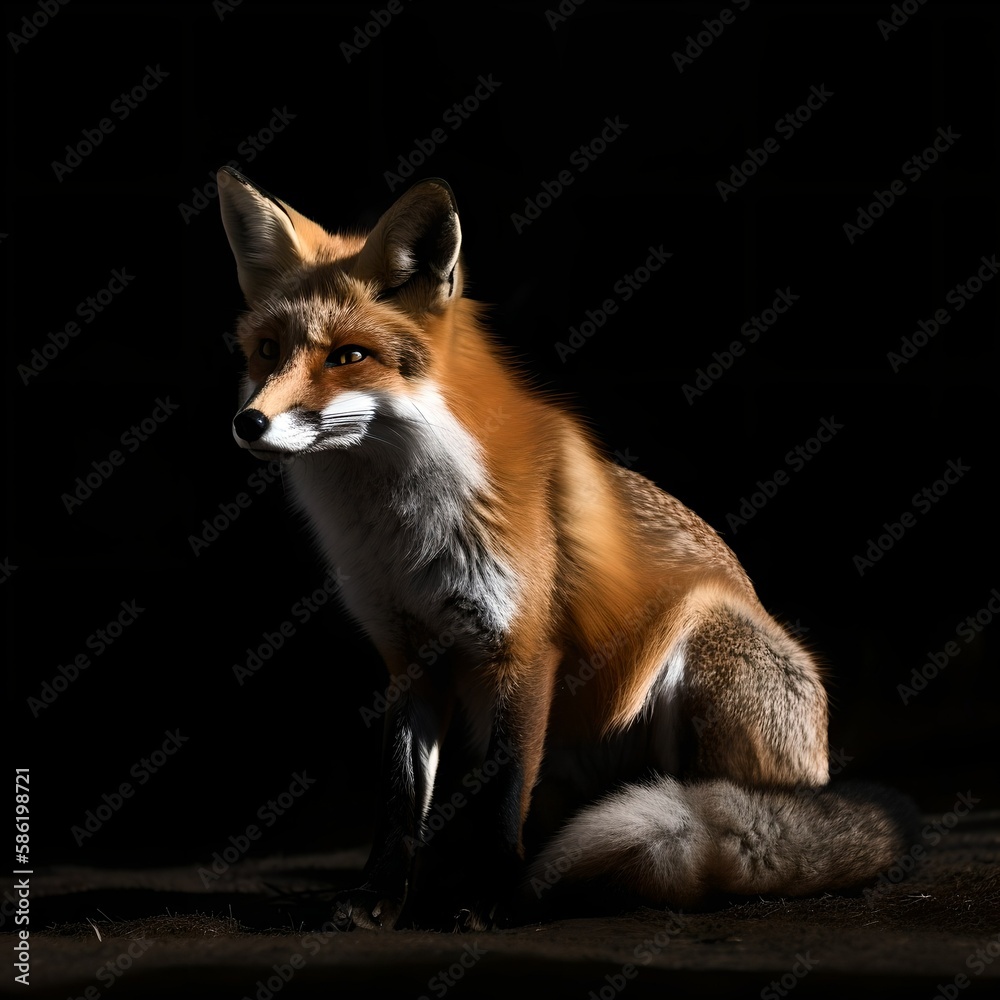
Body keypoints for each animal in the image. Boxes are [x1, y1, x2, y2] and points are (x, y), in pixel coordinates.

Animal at [217, 167, 917, 931]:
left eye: (348, 357)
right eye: (267, 351)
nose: (249, 423)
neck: (398, 537)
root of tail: (818, 775)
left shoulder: (520, 650)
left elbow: (500, 800)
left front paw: (486, 902)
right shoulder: (408, 657)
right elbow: (401, 802)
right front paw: (379, 899)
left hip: (702, 640)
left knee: (710, 822)